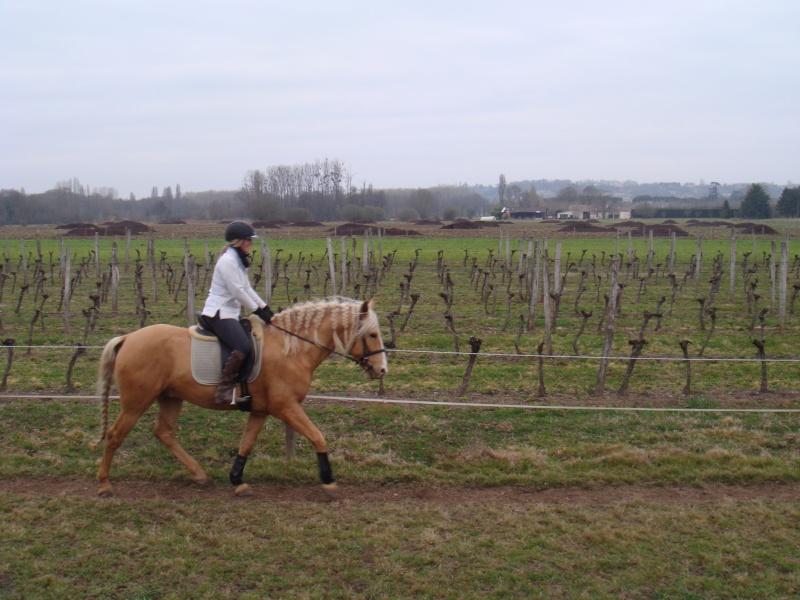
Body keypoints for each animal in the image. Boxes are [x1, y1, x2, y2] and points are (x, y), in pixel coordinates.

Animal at [94, 296, 388, 496]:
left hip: (170, 397)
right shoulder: (286, 406)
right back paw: (104, 484)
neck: (291, 348)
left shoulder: (260, 410)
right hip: (136, 401)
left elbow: (246, 444)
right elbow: (317, 436)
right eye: (373, 334)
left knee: (164, 432)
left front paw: (237, 480)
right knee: (115, 435)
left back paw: (199, 474)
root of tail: (127, 338)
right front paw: (328, 480)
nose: (382, 369)